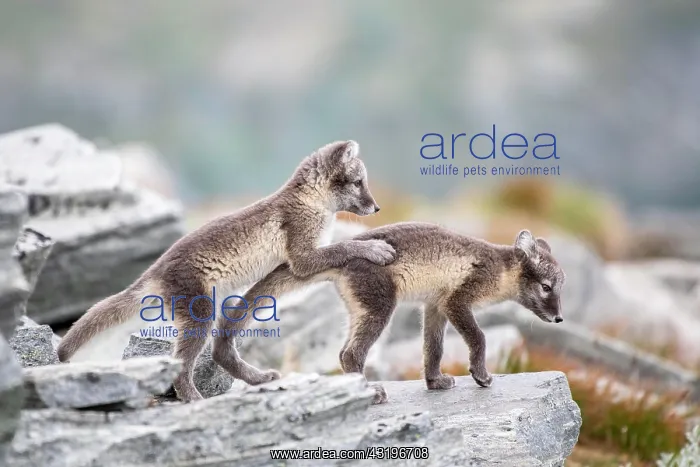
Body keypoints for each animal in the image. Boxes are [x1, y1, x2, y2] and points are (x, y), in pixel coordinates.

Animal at [57, 140, 397, 402]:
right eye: (359, 182)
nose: (378, 208)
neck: (312, 203)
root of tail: (154, 271)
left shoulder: (297, 261)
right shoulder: (303, 255)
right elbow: (342, 247)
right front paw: (375, 248)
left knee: (221, 353)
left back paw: (259, 378)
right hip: (200, 315)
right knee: (182, 365)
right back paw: (194, 398)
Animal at [217, 222, 566, 404]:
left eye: (560, 288)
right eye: (547, 287)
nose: (560, 319)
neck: (500, 270)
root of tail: (348, 247)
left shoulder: (435, 306)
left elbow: (433, 348)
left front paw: (434, 382)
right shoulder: (457, 301)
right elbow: (478, 337)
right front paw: (481, 376)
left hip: (361, 310)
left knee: (343, 352)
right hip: (381, 308)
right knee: (350, 354)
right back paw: (370, 392)